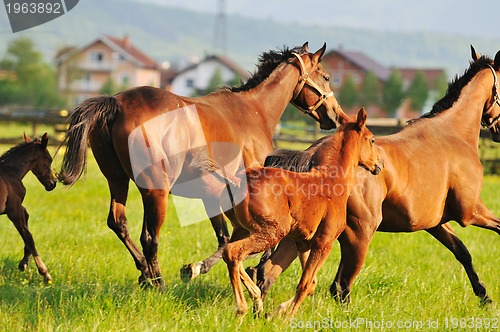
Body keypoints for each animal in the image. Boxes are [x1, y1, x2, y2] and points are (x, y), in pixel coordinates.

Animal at [0, 134, 57, 284]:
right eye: (49, 159)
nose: (52, 184)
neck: (10, 174)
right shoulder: (13, 210)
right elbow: (28, 236)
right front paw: (45, 273)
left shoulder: (16, 208)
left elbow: (27, 219)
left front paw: (24, 262)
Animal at [57, 42, 348, 286]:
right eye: (326, 77)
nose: (336, 116)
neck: (253, 111)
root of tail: (116, 102)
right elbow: (244, 240)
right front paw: (244, 271)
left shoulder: (217, 193)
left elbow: (225, 237)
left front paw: (199, 268)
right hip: (155, 190)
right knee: (149, 237)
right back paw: (157, 283)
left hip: (117, 179)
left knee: (118, 222)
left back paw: (144, 273)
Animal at [223, 108, 382, 316]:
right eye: (372, 140)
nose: (379, 164)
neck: (331, 180)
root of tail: (238, 182)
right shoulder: (324, 243)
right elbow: (304, 285)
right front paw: (286, 318)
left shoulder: (303, 243)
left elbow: (312, 283)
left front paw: (278, 311)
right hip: (271, 232)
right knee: (233, 253)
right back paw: (242, 309)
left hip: (242, 230)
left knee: (228, 253)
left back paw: (256, 299)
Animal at [252, 45, 500, 304]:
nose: (499, 131)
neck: (453, 131)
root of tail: (311, 154)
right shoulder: (469, 212)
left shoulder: (435, 223)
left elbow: (462, 251)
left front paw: (484, 296)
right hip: (359, 233)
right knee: (340, 286)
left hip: (304, 234)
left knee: (266, 272)